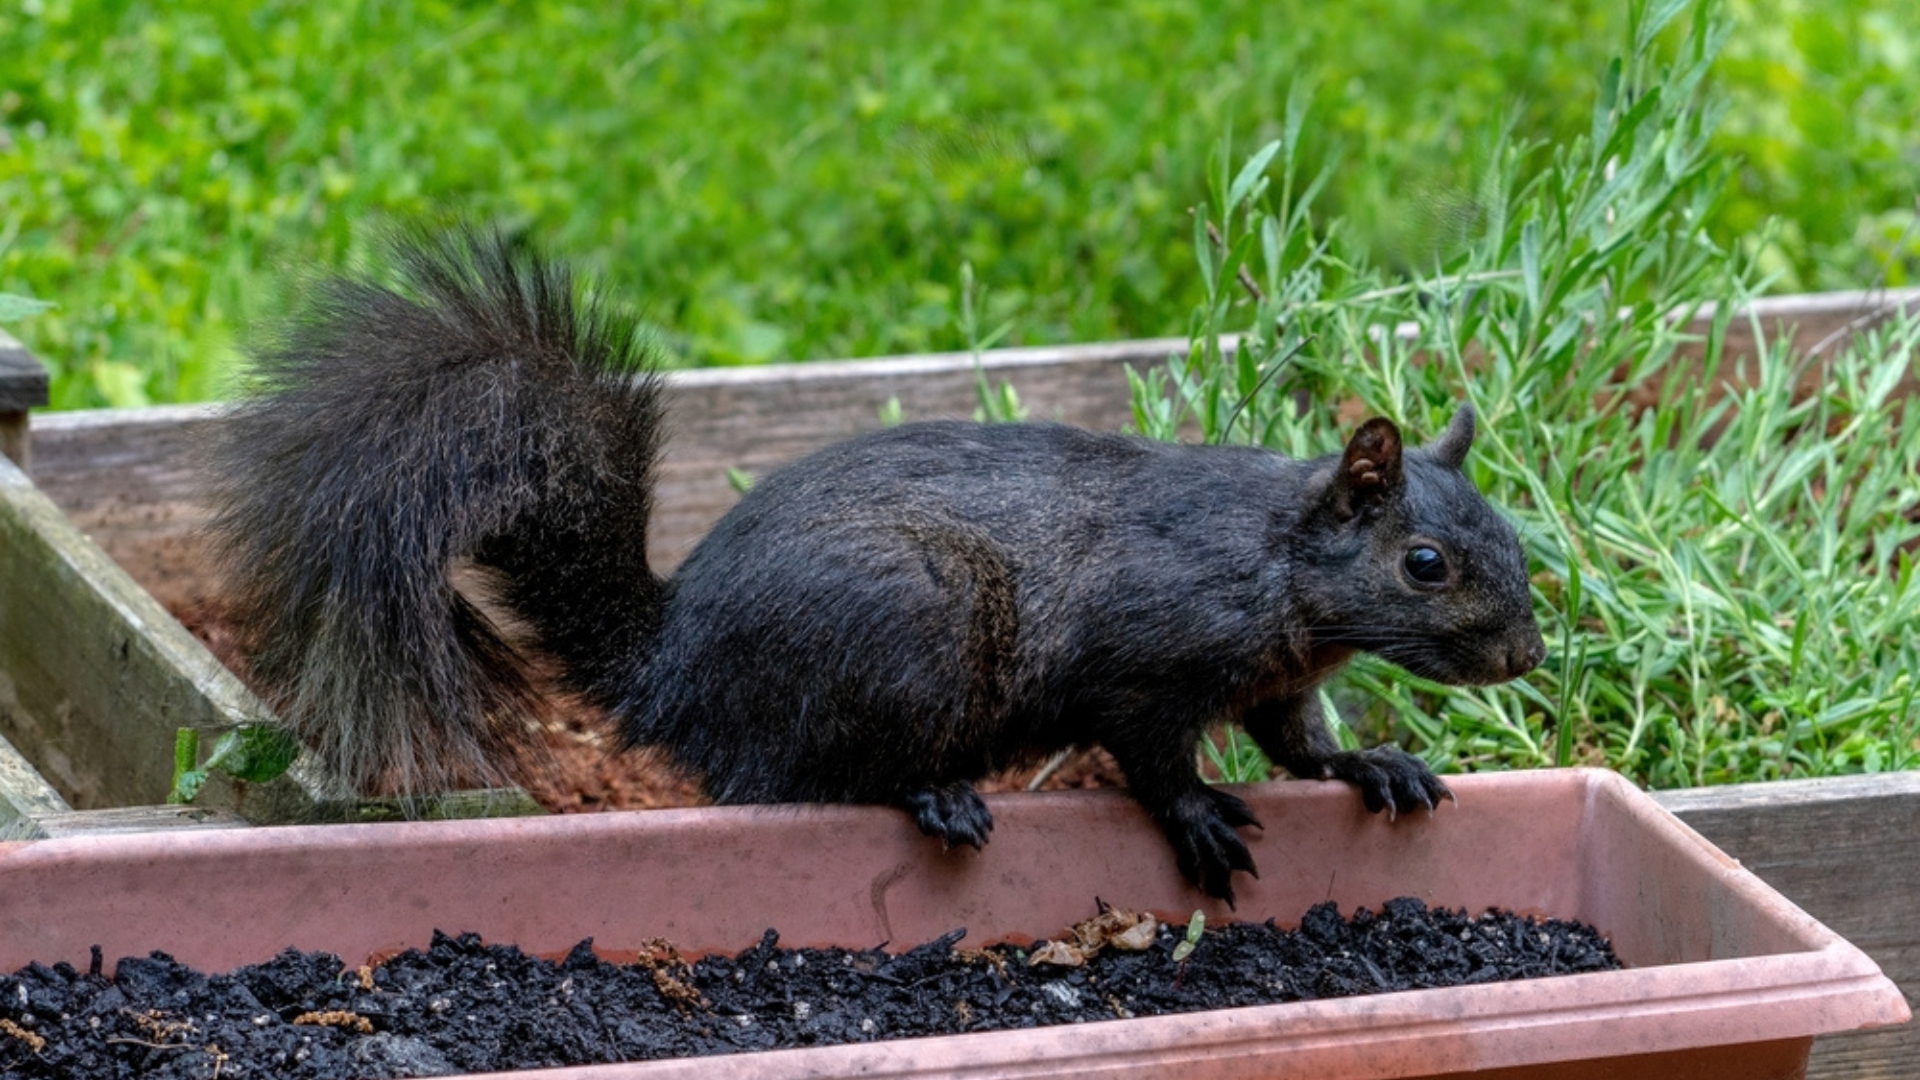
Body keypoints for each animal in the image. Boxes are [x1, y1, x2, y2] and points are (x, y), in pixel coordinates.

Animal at [214, 226, 1543, 899]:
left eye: (1514, 535)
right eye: (1425, 563)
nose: (1527, 656)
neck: (1276, 566)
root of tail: (675, 673)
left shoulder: (1279, 676)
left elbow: (1297, 742)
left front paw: (1374, 764)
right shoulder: (1147, 654)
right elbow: (1153, 749)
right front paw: (1200, 819)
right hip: (913, 626)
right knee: (817, 775)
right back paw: (933, 792)